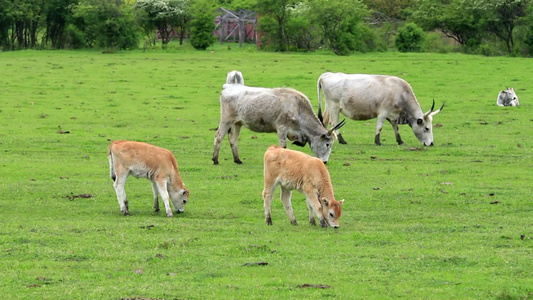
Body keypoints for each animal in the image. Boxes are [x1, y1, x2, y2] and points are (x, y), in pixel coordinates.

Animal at [212, 71, 344, 164]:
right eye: (327, 144)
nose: (325, 162)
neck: (298, 108)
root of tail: (230, 86)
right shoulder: (281, 128)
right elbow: (283, 147)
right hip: (226, 120)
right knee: (218, 137)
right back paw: (215, 159)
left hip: (237, 123)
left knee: (233, 139)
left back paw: (237, 160)